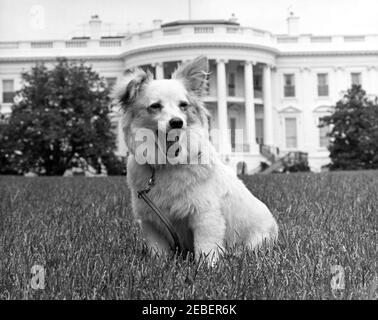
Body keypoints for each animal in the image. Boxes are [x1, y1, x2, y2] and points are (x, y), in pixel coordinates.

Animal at [112, 55, 278, 264]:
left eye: (183, 105)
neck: (167, 164)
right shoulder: (151, 221)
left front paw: (207, 267)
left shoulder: (206, 216)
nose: (177, 122)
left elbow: (205, 249)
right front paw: (159, 265)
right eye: (155, 106)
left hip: (257, 239)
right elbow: (158, 252)